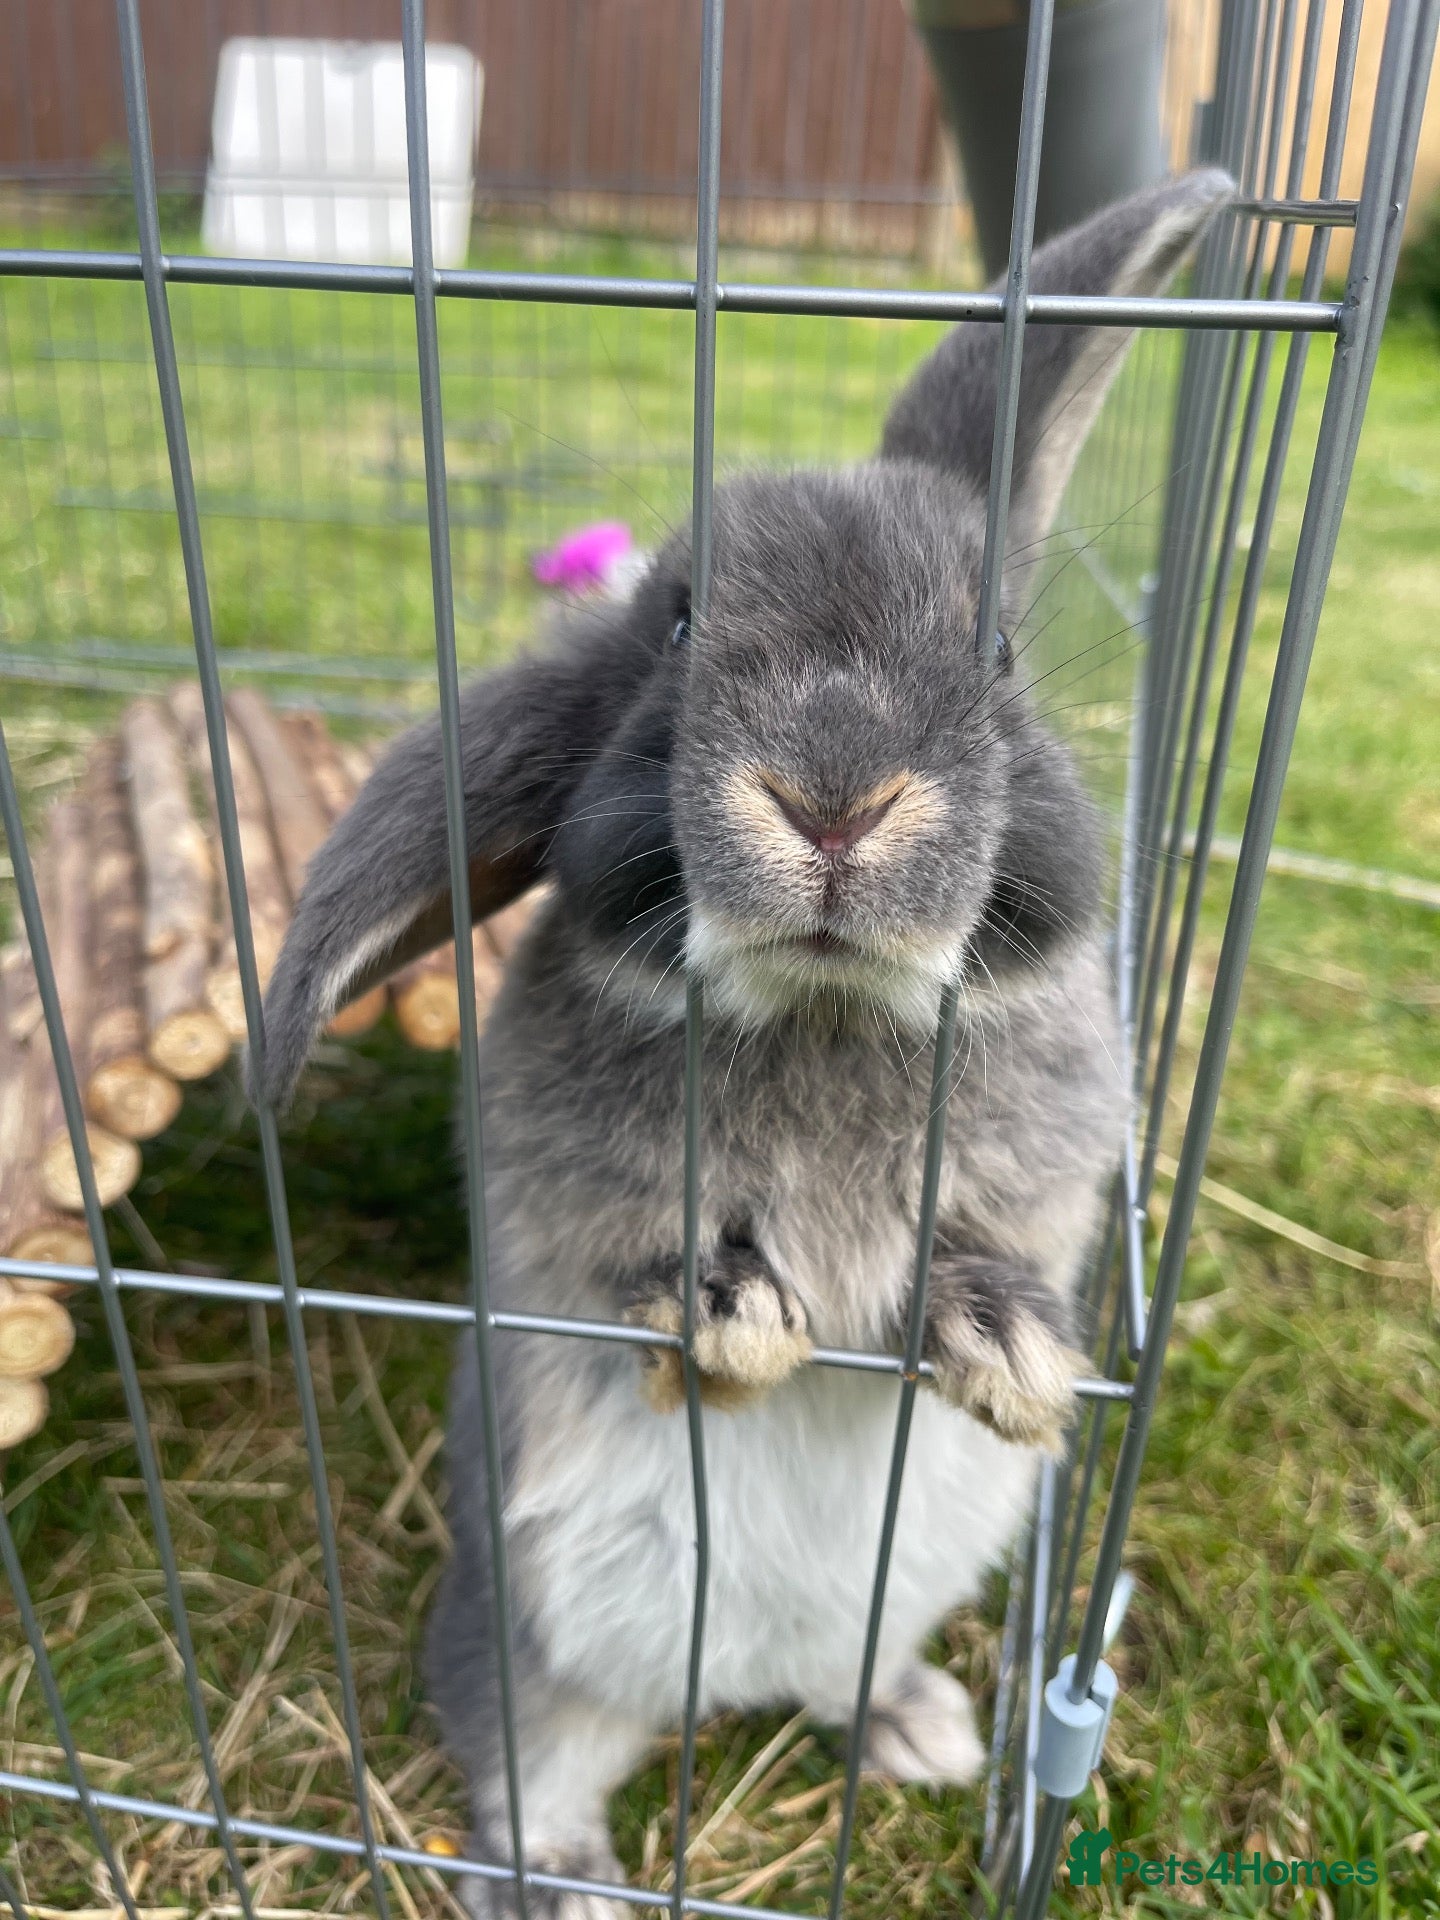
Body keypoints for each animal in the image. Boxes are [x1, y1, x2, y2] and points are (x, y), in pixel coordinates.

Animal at [259, 169, 1233, 1917]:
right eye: (678, 628)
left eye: (995, 650)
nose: (834, 797)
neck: (829, 1005)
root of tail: (746, 1676)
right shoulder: (563, 1217)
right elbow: (641, 1272)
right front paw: (736, 1319)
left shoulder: (1045, 1182)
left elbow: (992, 1251)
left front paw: (1010, 1359)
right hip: (538, 1648)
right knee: (517, 1757)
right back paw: (569, 1881)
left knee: (842, 1684)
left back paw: (924, 1733)